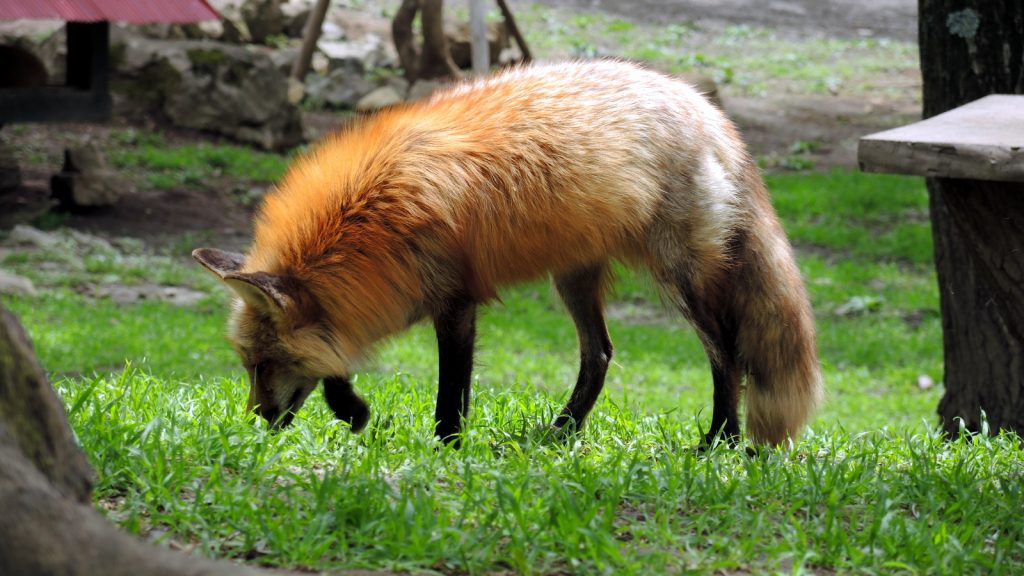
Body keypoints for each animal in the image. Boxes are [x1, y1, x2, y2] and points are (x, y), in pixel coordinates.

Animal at [193, 60, 823, 447]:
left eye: (262, 365)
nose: (254, 424)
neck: (369, 212)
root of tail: (706, 109)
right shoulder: (380, 293)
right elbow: (335, 362)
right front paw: (355, 411)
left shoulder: (453, 301)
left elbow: (450, 395)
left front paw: (446, 449)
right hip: (573, 278)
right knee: (600, 355)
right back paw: (560, 434)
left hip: (679, 278)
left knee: (728, 355)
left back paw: (719, 442)